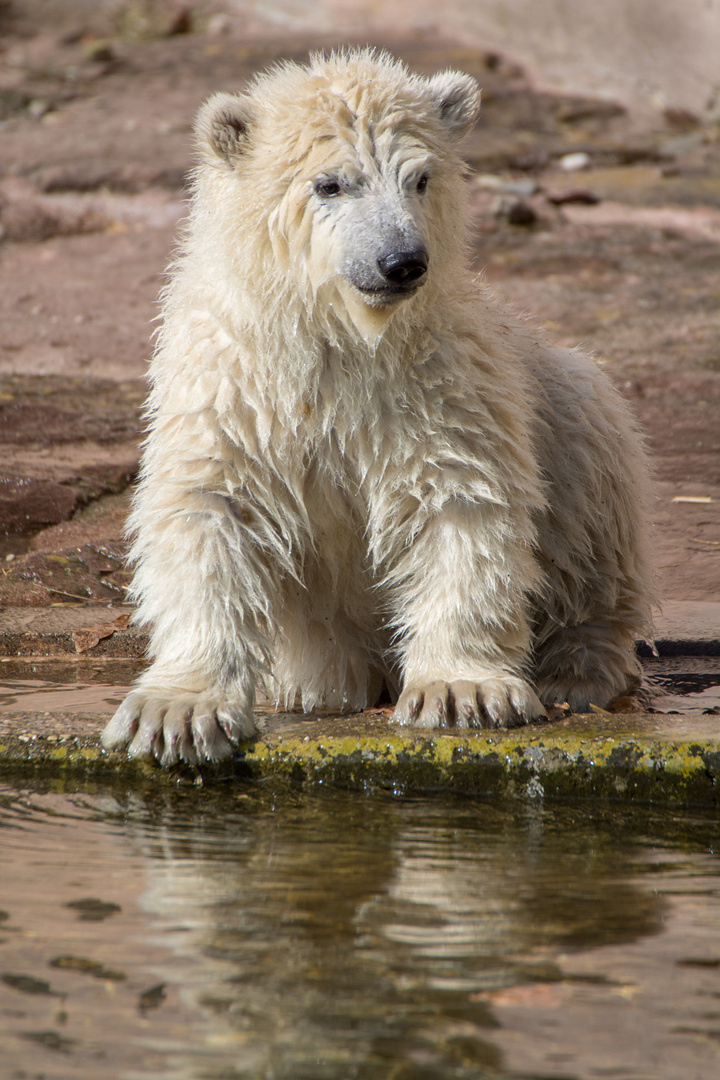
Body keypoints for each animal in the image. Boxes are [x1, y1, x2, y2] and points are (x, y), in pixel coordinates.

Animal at [102, 48, 660, 760]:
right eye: (330, 185)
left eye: (420, 178)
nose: (402, 261)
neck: (343, 339)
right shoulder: (234, 387)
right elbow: (208, 506)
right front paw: (176, 712)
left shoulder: (440, 381)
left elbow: (461, 500)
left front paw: (459, 692)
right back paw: (312, 684)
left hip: (560, 396)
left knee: (593, 477)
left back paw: (576, 669)